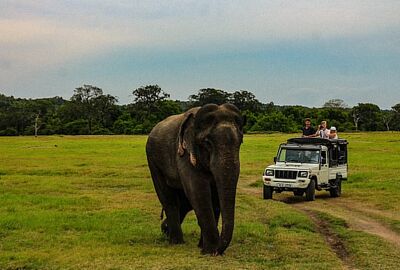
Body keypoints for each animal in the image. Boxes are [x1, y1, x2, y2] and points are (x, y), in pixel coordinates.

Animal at [146, 103, 244, 255]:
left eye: (241, 142)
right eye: (207, 143)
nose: (219, 250)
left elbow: (215, 196)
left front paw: (204, 247)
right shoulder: (184, 155)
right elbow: (198, 191)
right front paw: (210, 250)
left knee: (183, 203)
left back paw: (166, 230)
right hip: (153, 161)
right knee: (169, 199)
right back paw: (176, 241)